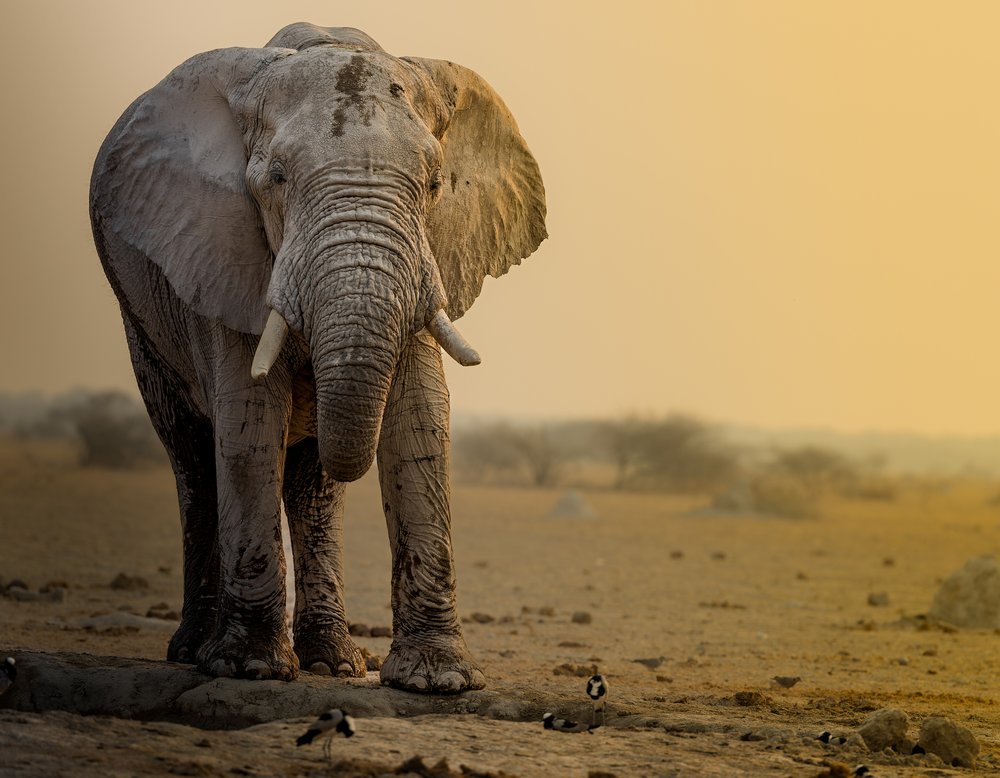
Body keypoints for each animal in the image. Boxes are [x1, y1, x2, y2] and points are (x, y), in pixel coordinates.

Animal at [89, 22, 546, 691]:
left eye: (435, 185)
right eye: (277, 178)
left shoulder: (429, 254)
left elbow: (419, 421)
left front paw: (437, 680)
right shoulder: (221, 250)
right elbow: (248, 423)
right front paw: (250, 668)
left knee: (313, 489)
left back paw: (334, 661)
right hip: (141, 322)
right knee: (192, 460)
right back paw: (196, 651)